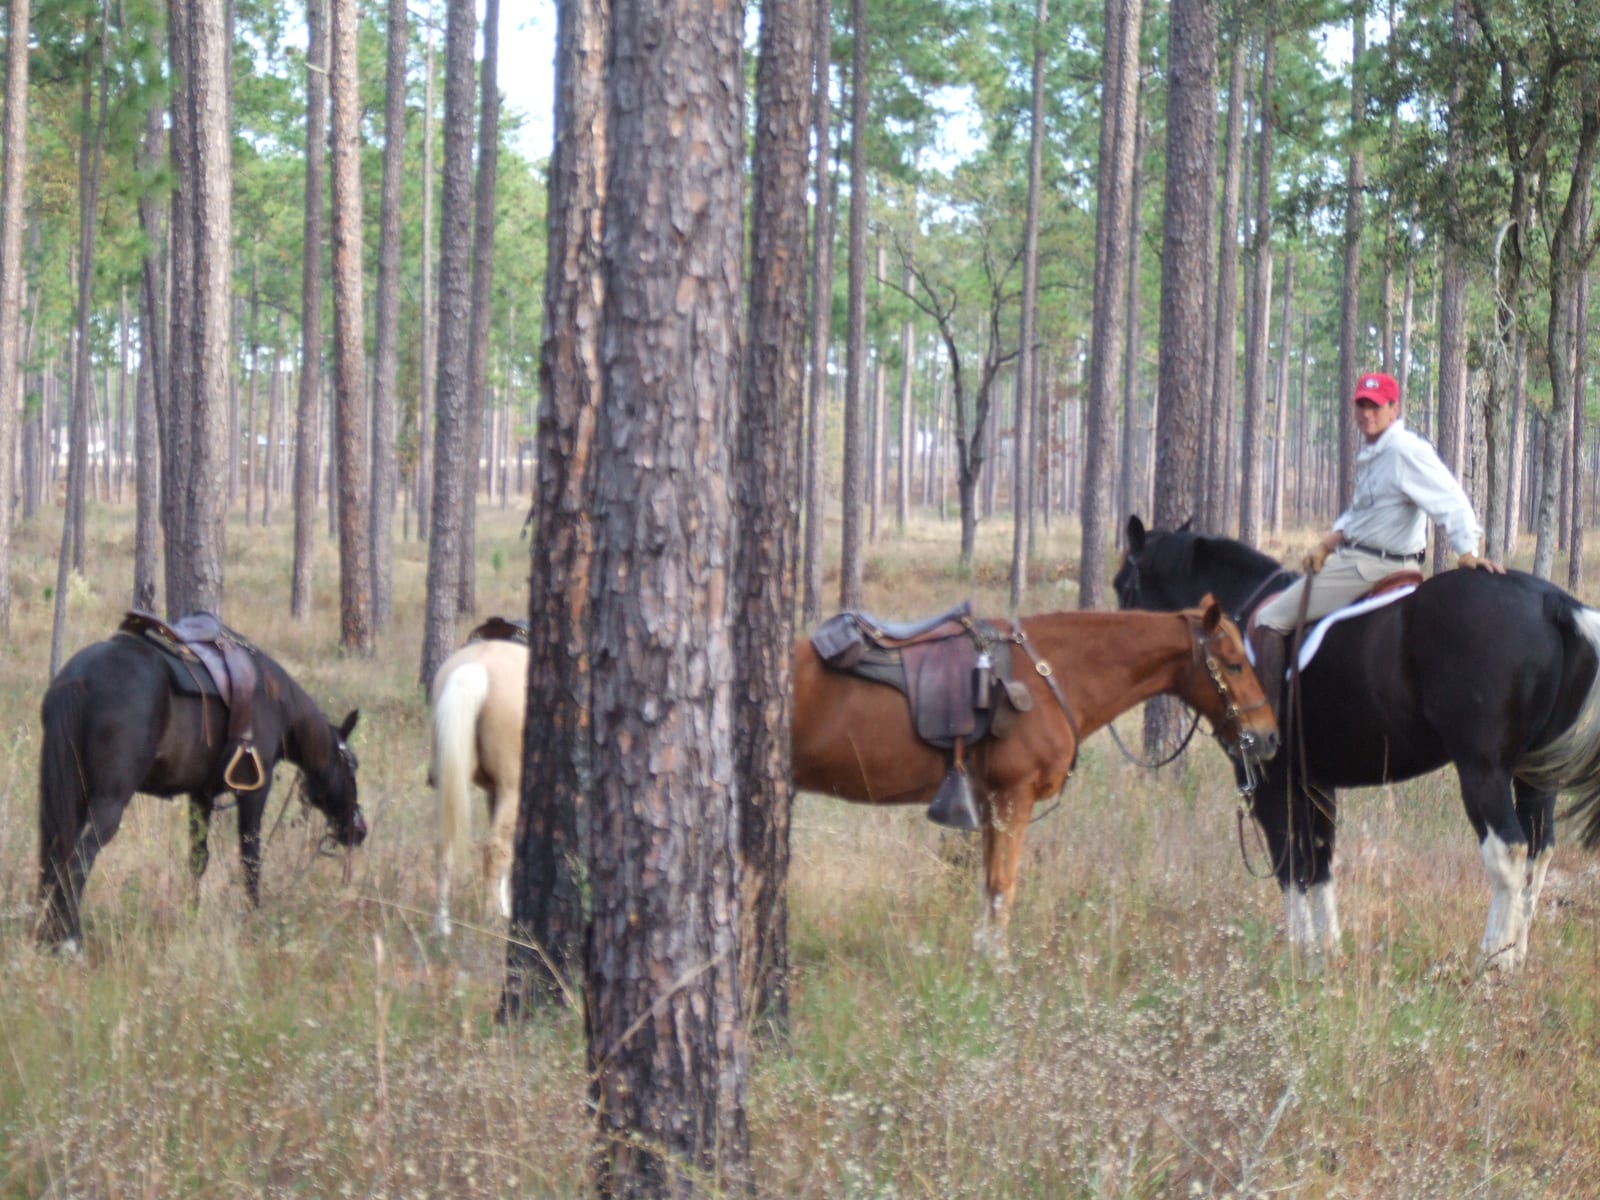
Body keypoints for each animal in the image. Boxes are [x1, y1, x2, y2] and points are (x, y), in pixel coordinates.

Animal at [37, 623, 366, 954]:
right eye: (353, 766)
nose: (359, 830)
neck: (275, 701)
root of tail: (78, 678)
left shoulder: (201, 795)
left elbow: (197, 860)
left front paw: (191, 914)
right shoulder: (254, 792)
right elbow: (250, 859)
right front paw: (254, 918)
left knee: (54, 857)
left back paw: (46, 935)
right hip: (108, 802)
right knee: (78, 860)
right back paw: (70, 940)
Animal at [428, 634, 527, 937]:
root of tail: (477, 666)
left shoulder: (492, 793)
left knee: (445, 843)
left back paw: (442, 925)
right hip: (512, 789)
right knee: (495, 847)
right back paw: (491, 920)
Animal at [791, 600, 1279, 949]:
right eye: (1234, 664)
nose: (1268, 737)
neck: (1051, 677)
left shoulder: (991, 801)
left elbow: (990, 888)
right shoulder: (1013, 796)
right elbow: (1002, 887)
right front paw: (995, 967)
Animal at [1115, 514, 1600, 970]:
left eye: (1123, 585)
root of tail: (1551, 602)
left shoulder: (1271, 780)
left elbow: (1289, 860)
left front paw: (1298, 952)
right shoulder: (1315, 782)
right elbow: (1319, 859)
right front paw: (1326, 953)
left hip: (1484, 771)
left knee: (1509, 852)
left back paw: (1493, 960)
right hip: (1536, 774)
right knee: (1538, 851)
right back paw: (1516, 957)